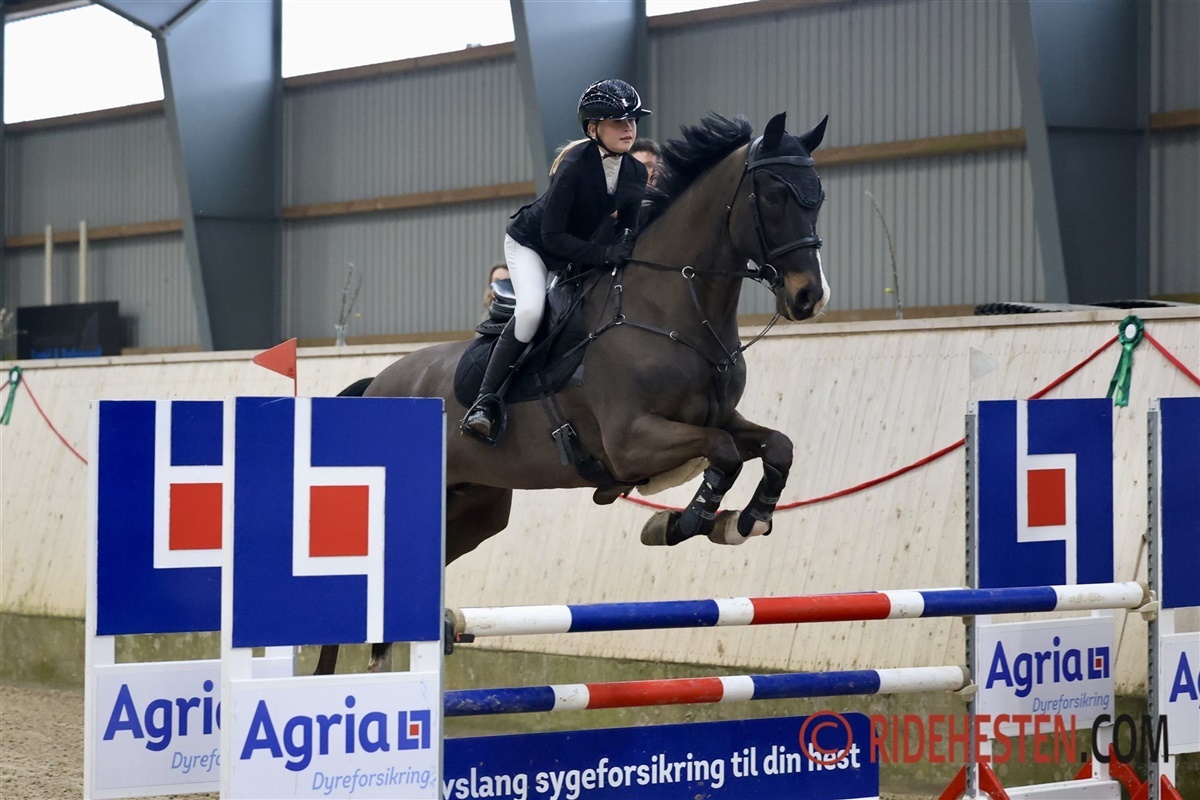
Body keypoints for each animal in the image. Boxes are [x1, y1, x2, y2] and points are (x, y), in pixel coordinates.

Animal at [314, 111, 830, 675]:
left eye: (818, 197)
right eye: (774, 195)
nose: (810, 297)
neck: (672, 308)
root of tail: (376, 386)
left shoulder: (720, 417)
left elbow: (775, 446)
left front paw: (747, 520)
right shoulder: (631, 442)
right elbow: (725, 453)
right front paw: (682, 523)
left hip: (474, 510)